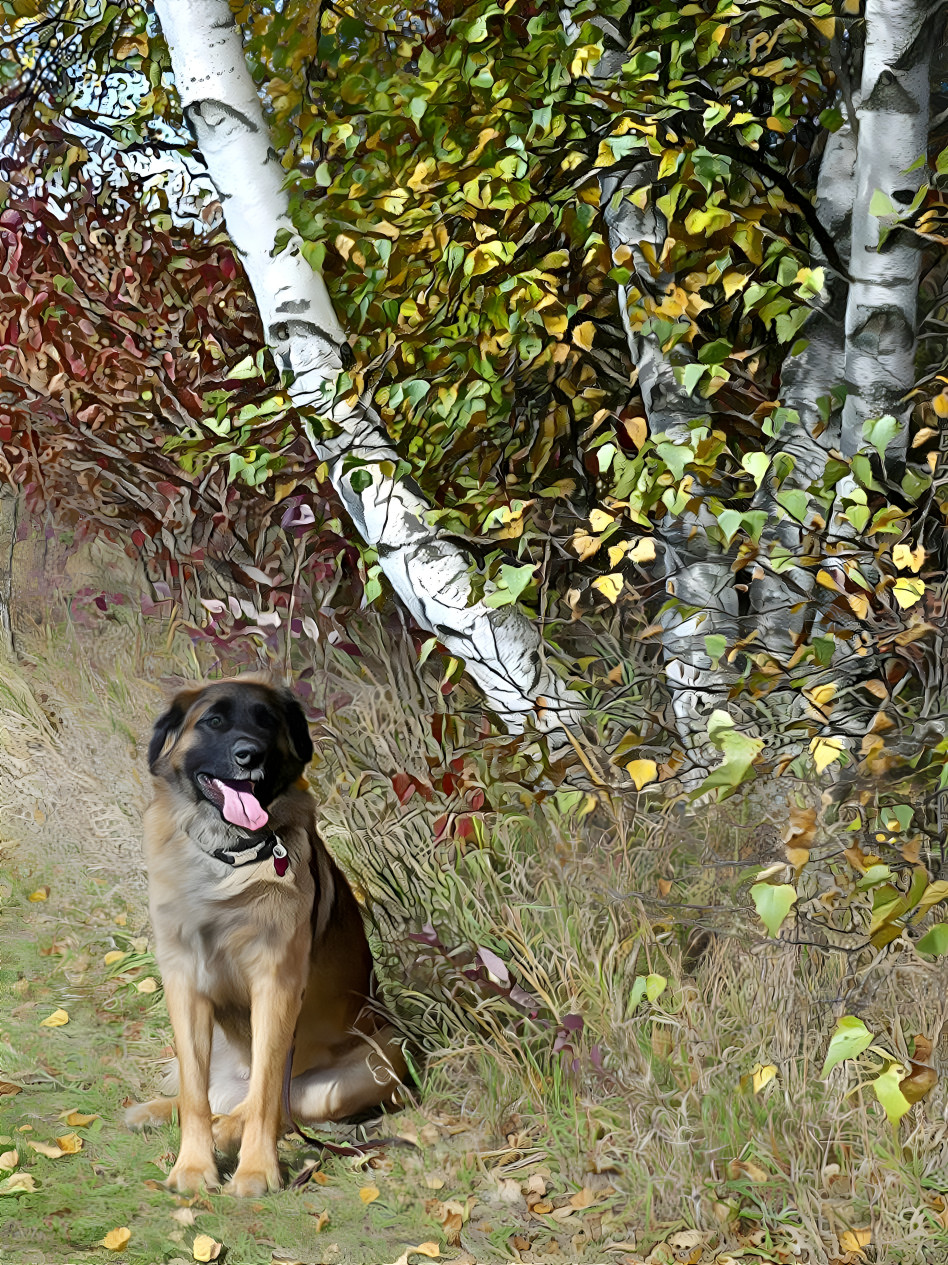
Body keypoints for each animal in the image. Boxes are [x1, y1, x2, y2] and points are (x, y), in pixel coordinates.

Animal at [124, 678, 402, 1189]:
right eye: (213, 720)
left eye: (267, 721)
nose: (249, 755)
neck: (228, 858)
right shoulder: (184, 984)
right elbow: (195, 1096)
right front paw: (193, 1166)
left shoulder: (276, 985)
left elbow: (267, 1095)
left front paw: (255, 1170)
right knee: (207, 1094)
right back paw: (159, 1111)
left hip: (381, 1055)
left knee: (277, 1107)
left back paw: (230, 1128)